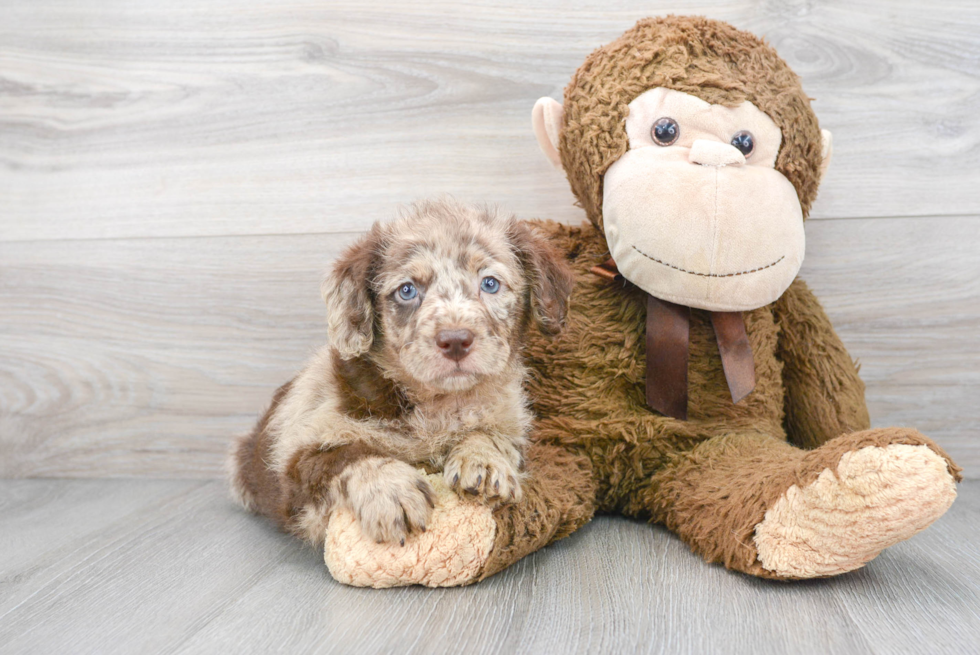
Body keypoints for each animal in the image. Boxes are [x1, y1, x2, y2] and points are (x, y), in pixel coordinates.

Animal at [228, 201, 576, 548]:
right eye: (407, 291)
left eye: (490, 284)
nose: (455, 341)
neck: (439, 404)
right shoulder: (298, 454)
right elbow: (345, 454)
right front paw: (389, 490)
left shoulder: (509, 420)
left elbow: (491, 433)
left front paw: (483, 459)